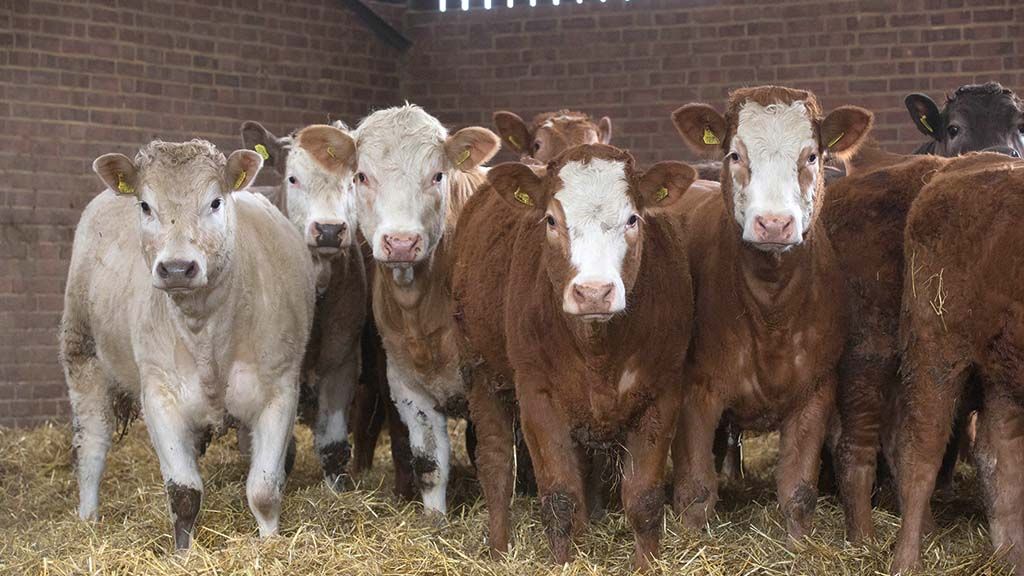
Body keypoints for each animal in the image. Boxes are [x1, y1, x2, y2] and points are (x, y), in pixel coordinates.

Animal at [60, 140, 314, 550]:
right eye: (146, 205)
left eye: (215, 201)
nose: (177, 268)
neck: (206, 334)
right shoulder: (160, 396)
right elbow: (183, 493)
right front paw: (183, 552)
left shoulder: (279, 391)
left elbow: (263, 490)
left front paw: (270, 543)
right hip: (82, 353)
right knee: (92, 443)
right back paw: (88, 518)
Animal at [346, 104, 499, 516]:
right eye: (362, 176)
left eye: (437, 175)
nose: (401, 243)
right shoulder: (406, 386)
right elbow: (429, 461)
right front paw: (434, 517)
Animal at [454, 143, 695, 568]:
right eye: (551, 220)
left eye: (633, 218)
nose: (594, 292)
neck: (598, 349)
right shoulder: (537, 395)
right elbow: (560, 496)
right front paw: (561, 562)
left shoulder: (663, 391)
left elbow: (644, 499)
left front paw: (646, 564)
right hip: (479, 373)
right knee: (497, 465)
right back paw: (498, 550)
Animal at [669, 86, 872, 540]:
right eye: (735, 154)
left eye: (812, 156)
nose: (775, 224)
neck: (771, 314)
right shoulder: (696, 391)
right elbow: (695, 487)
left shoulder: (816, 390)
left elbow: (798, 488)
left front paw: (797, 544)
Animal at [890, 152, 1024, 575]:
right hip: (935, 351)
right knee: (920, 451)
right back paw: (905, 559)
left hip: (1003, 373)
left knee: (998, 455)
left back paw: (1012, 557)